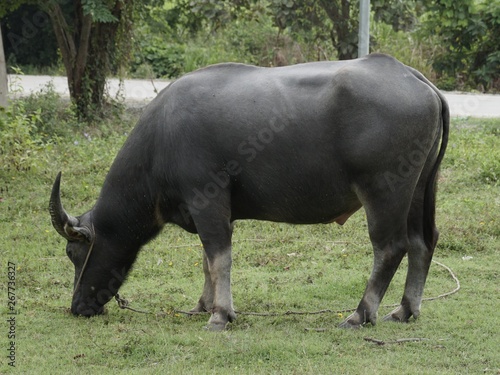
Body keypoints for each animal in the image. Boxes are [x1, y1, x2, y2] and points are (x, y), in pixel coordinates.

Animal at [49, 53, 450, 332]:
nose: (77, 306)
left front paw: (220, 315)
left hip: (384, 192)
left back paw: (360, 314)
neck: (160, 141)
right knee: (422, 241)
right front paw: (203, 305)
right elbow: (207, 260)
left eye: (72, 252)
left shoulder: (208, 200)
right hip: (420, 190)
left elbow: (219, 258)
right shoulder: (211, 210)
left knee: (390, 248)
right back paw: (406, 309)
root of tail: (417, 80)